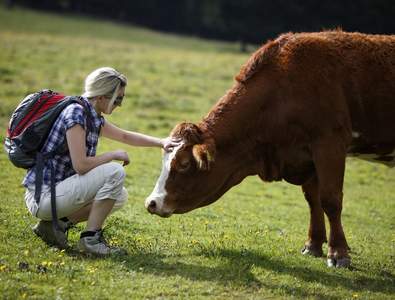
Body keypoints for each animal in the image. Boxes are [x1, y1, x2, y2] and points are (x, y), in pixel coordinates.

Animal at [145, 31, 395, 268]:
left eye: (184, 164)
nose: (152, 202)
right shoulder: (306, 155)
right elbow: (313, 199)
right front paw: (313, 244)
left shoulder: (329, 144)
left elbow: (330, 200)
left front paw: (338, 253)